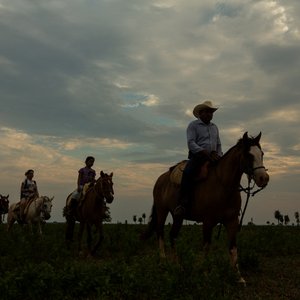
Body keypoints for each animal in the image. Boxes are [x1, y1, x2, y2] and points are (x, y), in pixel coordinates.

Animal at [141, 132, 270, 282]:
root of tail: (161, 179)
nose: (264, 178)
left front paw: (238, 277)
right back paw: (163, 261)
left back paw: (177, 265)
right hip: (162, 211)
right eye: (248, 155)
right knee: (160, 232)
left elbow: (233, 248)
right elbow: (207, 247)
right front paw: (205, 273)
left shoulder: (232, 221)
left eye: (262, 154)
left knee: (172, 235)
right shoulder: (208, 222)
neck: (223, 185)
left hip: (178, 216)